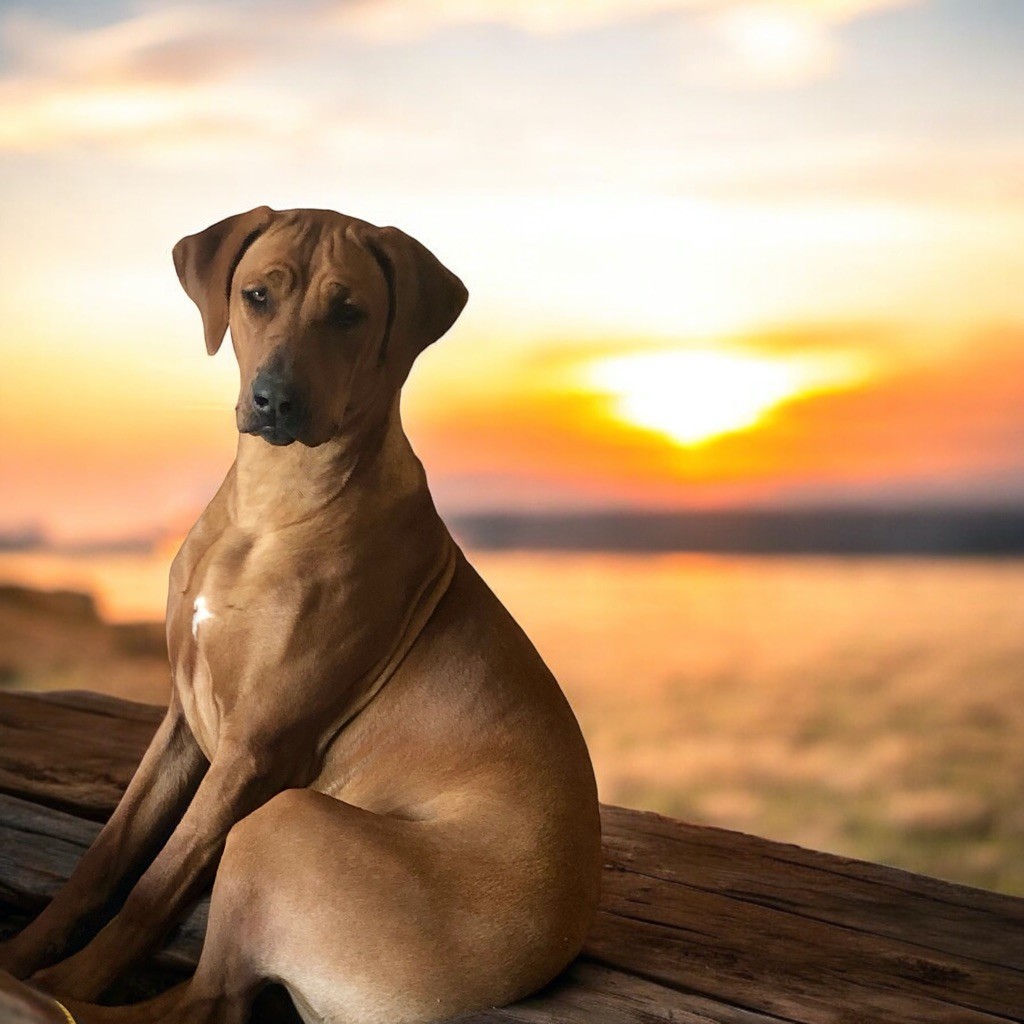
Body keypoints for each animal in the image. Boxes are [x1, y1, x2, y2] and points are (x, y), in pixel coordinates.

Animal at [0, 207, 602, 1024]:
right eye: (256, 295)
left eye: (349, 313)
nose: (275, 400)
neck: (271, 503)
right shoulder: (183, 720)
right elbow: (109, 857)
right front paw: (24, 951)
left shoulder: (259, 749)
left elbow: (154, 887)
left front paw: (59, 975)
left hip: (286, 824)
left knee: (205, 1002)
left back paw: (50, 1001)